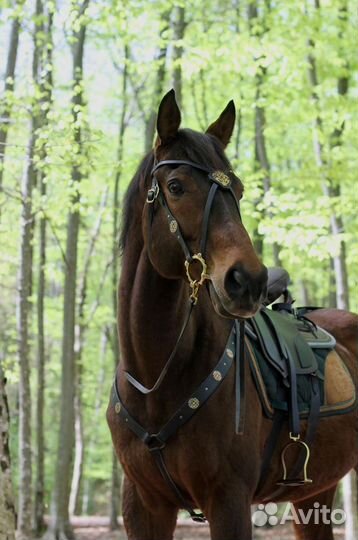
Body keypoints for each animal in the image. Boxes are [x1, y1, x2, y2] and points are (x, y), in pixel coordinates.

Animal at [107, 90, 358, 536]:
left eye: (237, 190)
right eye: (176, 186)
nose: (249, 281)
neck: (156, 379)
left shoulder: (229, 501)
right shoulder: (142, 506)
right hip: (314, 493)